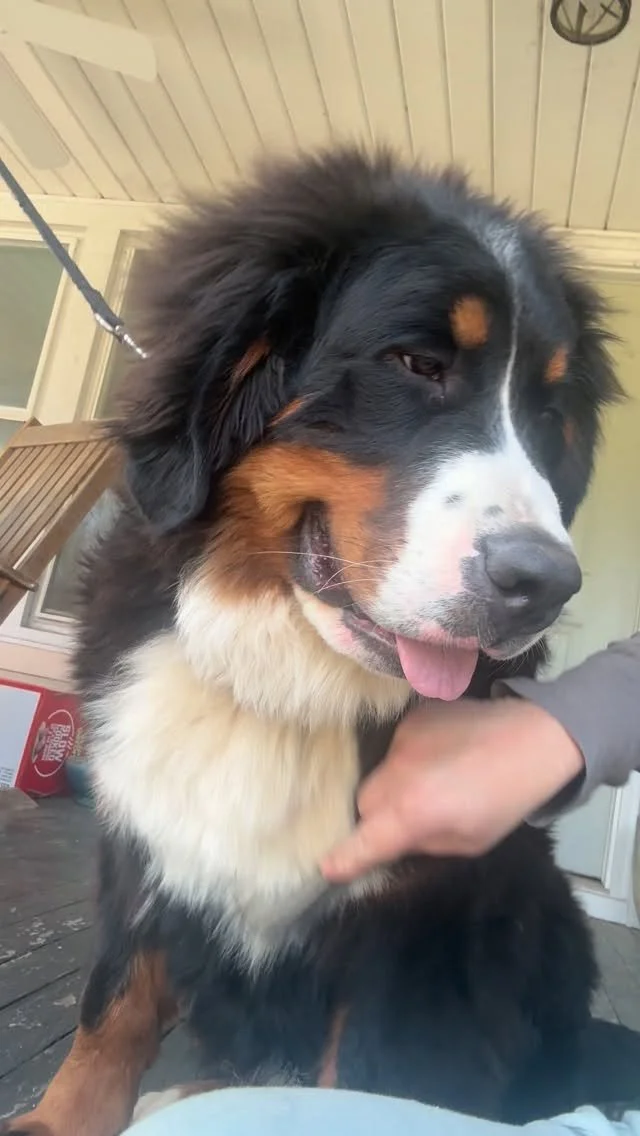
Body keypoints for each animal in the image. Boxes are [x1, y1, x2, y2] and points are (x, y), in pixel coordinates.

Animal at [5, 147, 640, 1136]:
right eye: (417, 363)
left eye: (548, 413)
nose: (543, 584)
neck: (291, 686)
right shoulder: (142, 840)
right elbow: (111, 1006)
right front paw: (59, 1118)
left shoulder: (412, 930)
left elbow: (361, 1080)